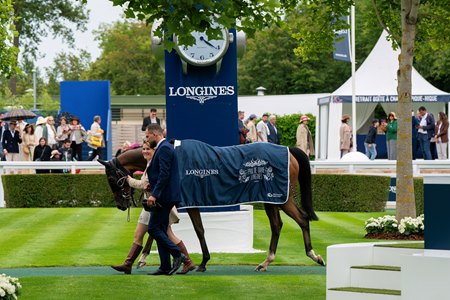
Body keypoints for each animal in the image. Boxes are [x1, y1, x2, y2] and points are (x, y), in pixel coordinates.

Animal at [99, 144, 324, 274]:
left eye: (111, 178)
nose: (120, 205)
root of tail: (289, 150)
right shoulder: (180, 203)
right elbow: (167, 230)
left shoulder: (184, 202)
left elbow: (193, 230)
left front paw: (200, 262)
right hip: (271, 200)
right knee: (277, 225)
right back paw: (266, 262)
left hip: (279, 199)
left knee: (301, 219)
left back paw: (313, 255)